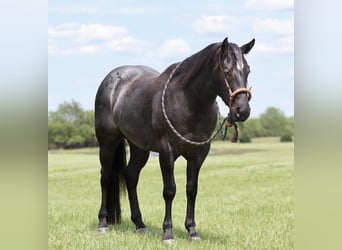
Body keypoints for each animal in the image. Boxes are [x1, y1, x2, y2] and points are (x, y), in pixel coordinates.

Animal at [93, 37, 254, 242]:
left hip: (139, 147)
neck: (188, 101)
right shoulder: (166, 152)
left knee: (131, 176)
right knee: (105, 178)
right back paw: (103, 223)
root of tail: (112, 80)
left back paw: (140, 224)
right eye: (226, 70)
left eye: (247, 70)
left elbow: (191, 190)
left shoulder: (198, 154)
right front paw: (168, 233)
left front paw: (192, 231)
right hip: (107, 143)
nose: (242, 110)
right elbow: (169, 190)